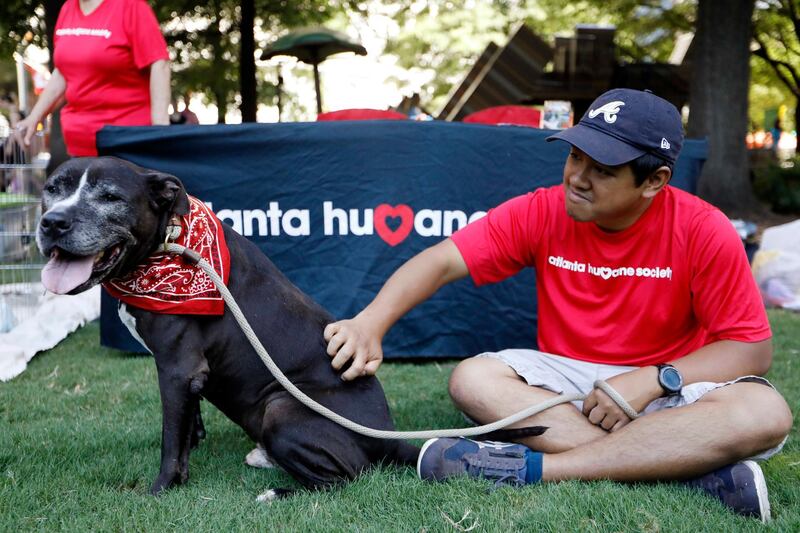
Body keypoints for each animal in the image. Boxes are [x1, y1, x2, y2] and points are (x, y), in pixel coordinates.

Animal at [37, 157, 418, 494]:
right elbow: (187, 421)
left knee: (344, 479)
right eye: (51, 189)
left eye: (110, 197)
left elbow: (170, 440)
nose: (53, 223)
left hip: (280, 408)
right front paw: (193, 445)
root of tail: (391, 439)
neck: (167, 244)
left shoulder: (178, 368)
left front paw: (163, 487)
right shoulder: (190, 375)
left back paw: (276, 492)